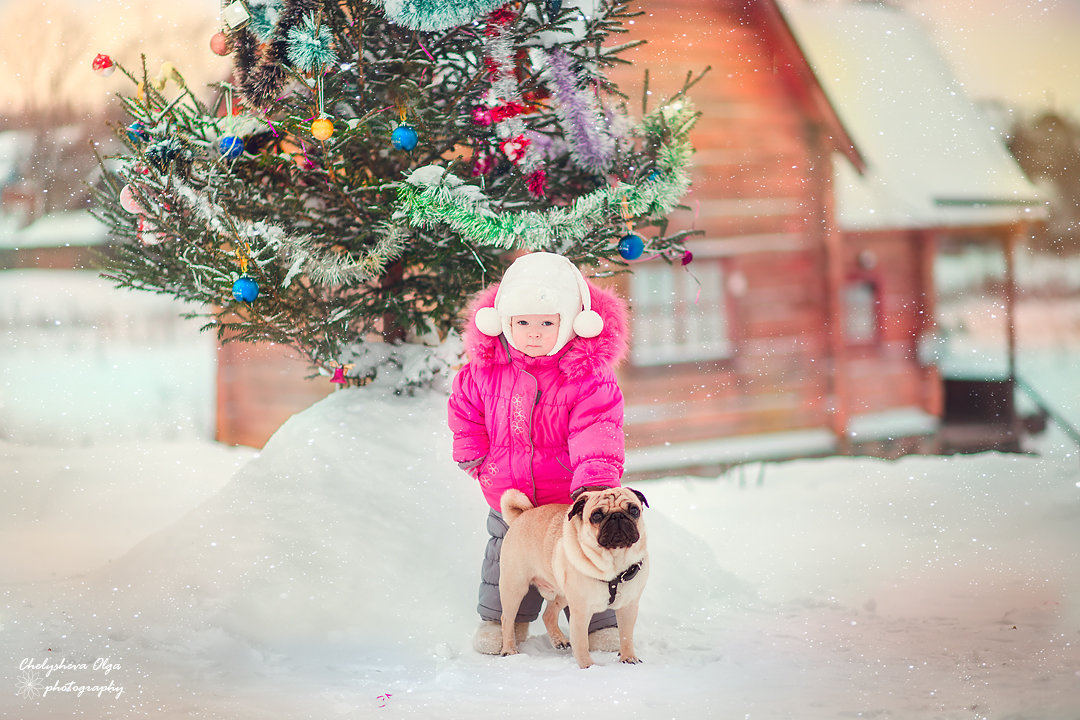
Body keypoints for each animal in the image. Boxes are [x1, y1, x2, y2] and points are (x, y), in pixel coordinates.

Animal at [498, 487, 648, 669]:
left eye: (634, 510)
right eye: (596, 516)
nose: (617, 516)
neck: (615, 561)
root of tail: (521, 516)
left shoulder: (628, 606)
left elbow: (626, 635)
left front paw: (628, 658)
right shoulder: (581, 611)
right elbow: (581, 643)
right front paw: (588, 667)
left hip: (562, 593)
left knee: (549, 615)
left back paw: (559, 641)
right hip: (514, 587)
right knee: (507, 619)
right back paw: (508, 650)